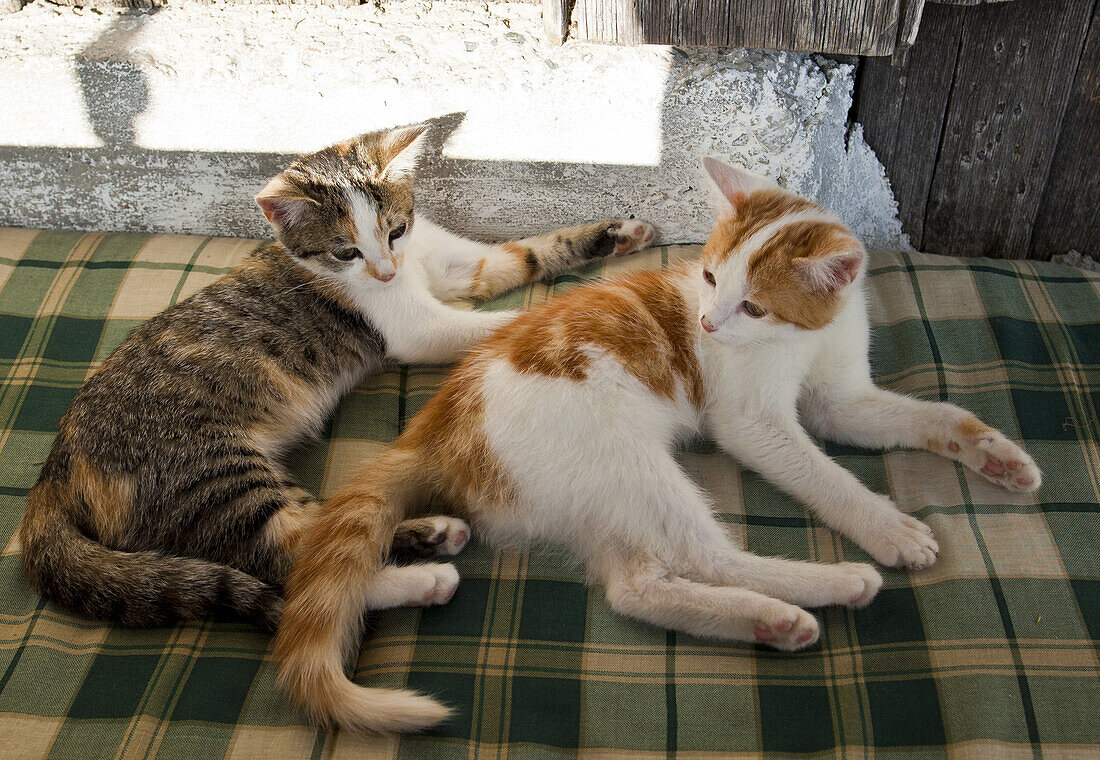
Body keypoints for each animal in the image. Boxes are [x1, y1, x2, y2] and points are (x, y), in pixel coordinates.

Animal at [19, 126, 651, 629]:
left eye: (395, 230)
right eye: (345, 252)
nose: (386, 271)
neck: (408, 265)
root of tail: (57, 464)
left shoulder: (461, 266)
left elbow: (525, 255)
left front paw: (615, 235)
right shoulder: (416, 328)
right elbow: (502, 321)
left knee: (331, 534)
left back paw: (429, 535)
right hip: (212, 475)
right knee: (299, 560)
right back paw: (420, 579)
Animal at [272, 157, 1038, 734]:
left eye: (753, 304)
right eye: (709, 277)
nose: (707, 322)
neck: (803, 339)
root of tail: (439, 419)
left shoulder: (841, 399)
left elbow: (930, 414)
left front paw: (999, 455)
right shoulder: (750, 421)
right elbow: (827, 478)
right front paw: (889, 528)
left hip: (597, 493)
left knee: (634, 587)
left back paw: (768, 621)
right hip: (622, 459)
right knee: (703, 555)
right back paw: (827, 587)